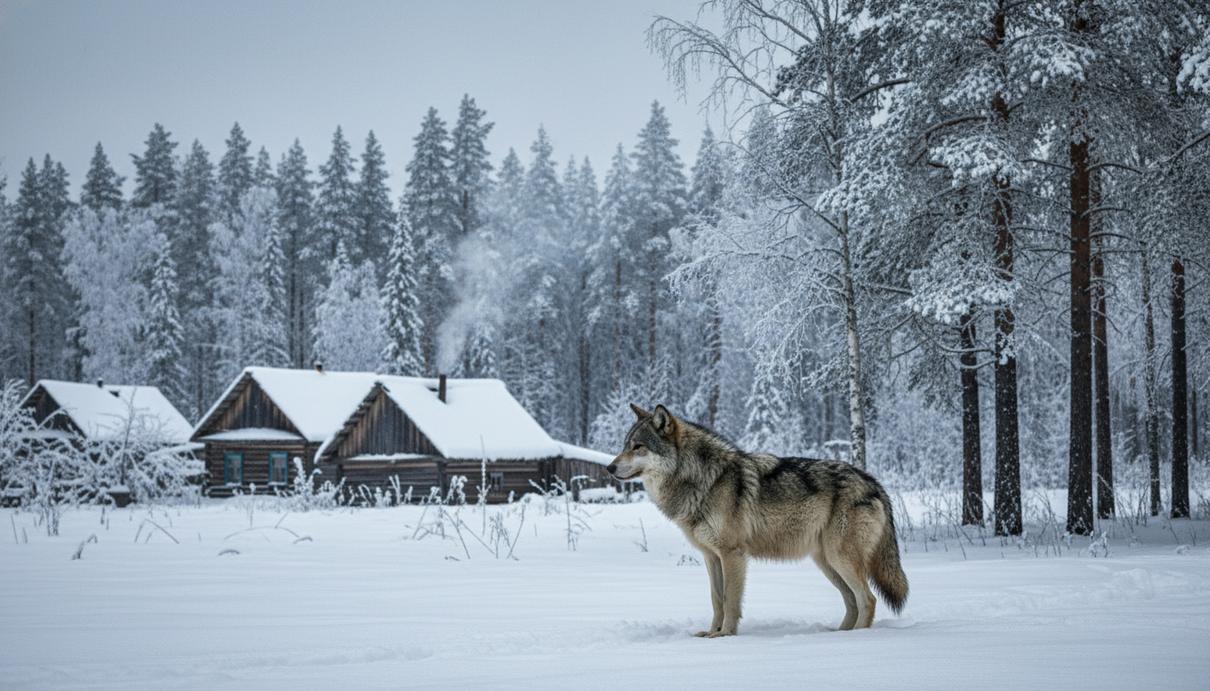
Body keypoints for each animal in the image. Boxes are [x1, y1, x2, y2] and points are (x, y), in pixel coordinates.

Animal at [607, 404, 908, 637]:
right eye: (624, 446)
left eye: (638, 447)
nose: (609, 467)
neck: (703, 479)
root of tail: (873, 482)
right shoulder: (711, 556)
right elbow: (716, 599)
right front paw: (711, 633)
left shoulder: (732, 554)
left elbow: (730, 600)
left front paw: (726, 635)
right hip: (827, 563)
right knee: (852, 601)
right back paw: (840, 634)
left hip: (839, 558)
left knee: (867, 599)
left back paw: (856, 639)